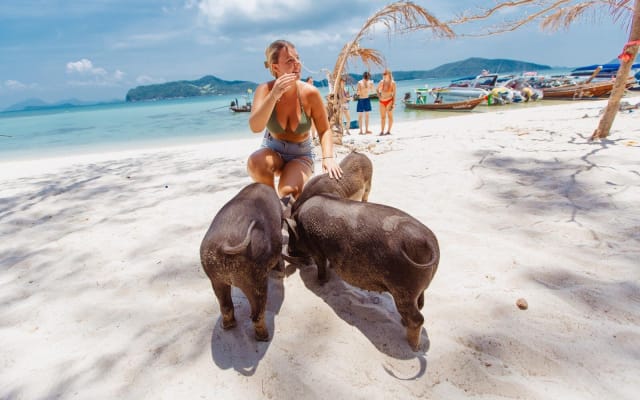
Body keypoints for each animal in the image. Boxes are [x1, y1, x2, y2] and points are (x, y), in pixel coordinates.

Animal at [200, 183, 284, 341]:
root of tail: (225, 244)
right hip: (257, 279)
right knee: (257, 313)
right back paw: (264, 337)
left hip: (215, 277)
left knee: (226, 306)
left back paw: (227, 326)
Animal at [286, 194, 439, 351]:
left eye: (291, 233)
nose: (288, 251)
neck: (301, 225)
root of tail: (430, 242)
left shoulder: (317, 249)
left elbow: (321, 265)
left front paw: (319, 282)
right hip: (417, 289)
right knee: (420, 304)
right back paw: (404, 324)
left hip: (403, 290)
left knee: (418, 319)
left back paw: (413, 347)